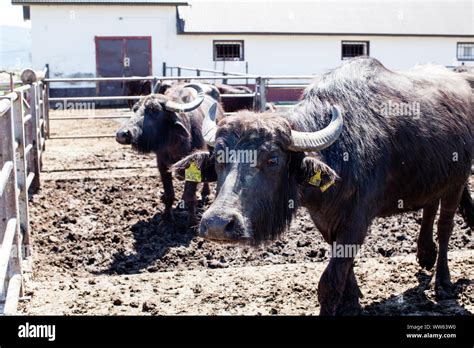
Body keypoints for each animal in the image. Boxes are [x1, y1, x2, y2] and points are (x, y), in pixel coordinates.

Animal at [116, 83, 224, 226]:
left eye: (154, 110)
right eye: (135, 109)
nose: (121, 134)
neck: (176, 143)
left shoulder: (194, 164)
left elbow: (190, 196)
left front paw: (192, 221)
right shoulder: (162, 165)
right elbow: (169, 194)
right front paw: (167, 217)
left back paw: (205, 192)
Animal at [174, 57, 474, 316]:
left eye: (272, 159)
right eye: (219, 157)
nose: (217, 224)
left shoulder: (356, 221)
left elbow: (330, 281)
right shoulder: (325, 220)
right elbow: (343, 266)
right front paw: (352, 300)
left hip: (458, 180)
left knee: (445, 227)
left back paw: (443, 281)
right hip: (434, 176)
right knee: (430, 207)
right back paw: (425, 255)